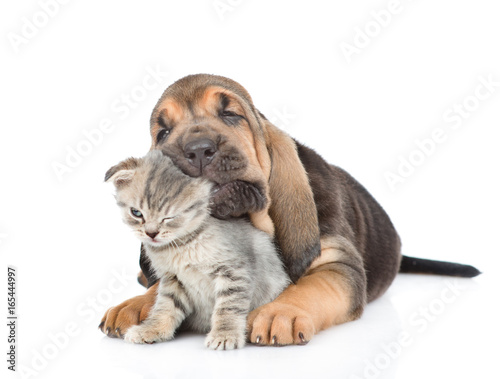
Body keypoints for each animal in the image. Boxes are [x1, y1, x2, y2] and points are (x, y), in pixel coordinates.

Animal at [107, 151, 292, 350]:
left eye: (170, 217)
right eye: (136, 213)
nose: (151, 233)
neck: (182, 244)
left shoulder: (234, 271)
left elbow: (228, 307)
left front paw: (225, 334)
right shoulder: (173, 279)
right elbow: (165, 306)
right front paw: (151, 329)